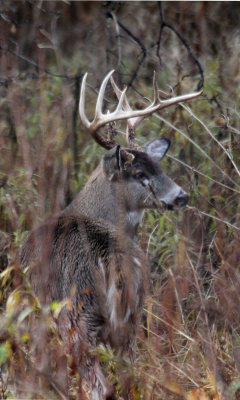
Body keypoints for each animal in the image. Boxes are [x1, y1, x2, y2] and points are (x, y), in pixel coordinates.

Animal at [20, 72, 202, 400]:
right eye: (141, 174)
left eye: (159, 167)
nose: (181, 196)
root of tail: (112, 261)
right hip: (131, 319)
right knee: (131, 378)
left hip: (75, 318)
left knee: (100, 387)